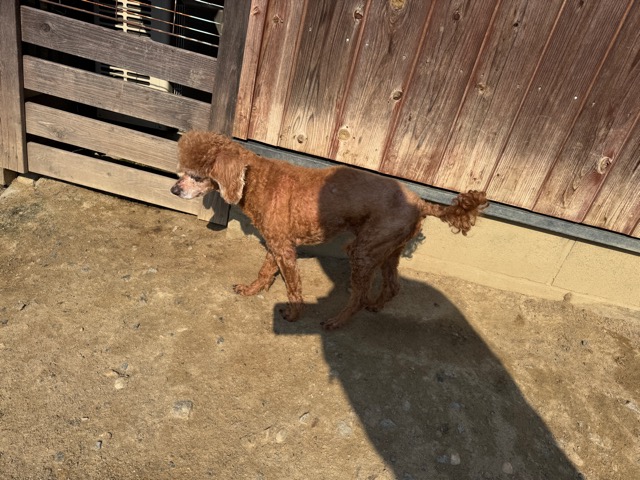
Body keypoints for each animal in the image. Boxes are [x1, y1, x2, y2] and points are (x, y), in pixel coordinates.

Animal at [171, 131, 487, 329]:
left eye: (196, 176)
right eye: (181, 171)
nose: (173, 189)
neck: (256, 181)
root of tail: (421, 202)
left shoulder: (285, 249)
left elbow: (293, 286)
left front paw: (293, 314)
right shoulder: (276, 243)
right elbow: (264, 272)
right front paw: (250, 290)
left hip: (363, 251)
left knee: (358, 296)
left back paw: (337, 321)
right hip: (388, 249)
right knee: (393, 285)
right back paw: (376, 307)